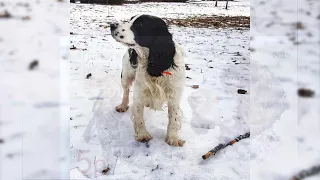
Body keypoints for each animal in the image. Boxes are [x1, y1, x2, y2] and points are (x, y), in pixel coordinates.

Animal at [110, 14, 185, 146]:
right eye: (130, 19)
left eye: (139, 25)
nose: (112, 25)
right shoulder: (139, 93)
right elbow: (139, 116)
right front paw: (143, 135)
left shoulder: (174, 95)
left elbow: (173, 117)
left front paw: (172, 138)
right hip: (126, 76)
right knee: (125, 92)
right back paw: (123, 106)